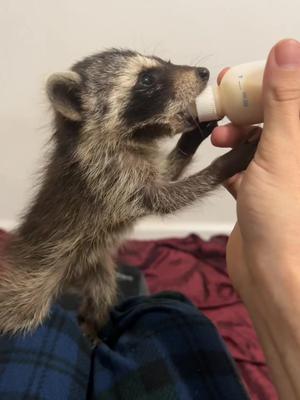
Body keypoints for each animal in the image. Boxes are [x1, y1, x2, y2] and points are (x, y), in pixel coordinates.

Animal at [0, 47, 256, 340]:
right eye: (146, 79)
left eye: (165, 62)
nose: (203, 73)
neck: (133, 139)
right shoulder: (108, 176)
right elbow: (164, 199)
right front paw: (225, 164)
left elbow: (165, 174)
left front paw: (190, 138)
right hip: (31, 281)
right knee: (21, 309)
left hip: (93, 265)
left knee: (102, 290)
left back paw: (94, 324)